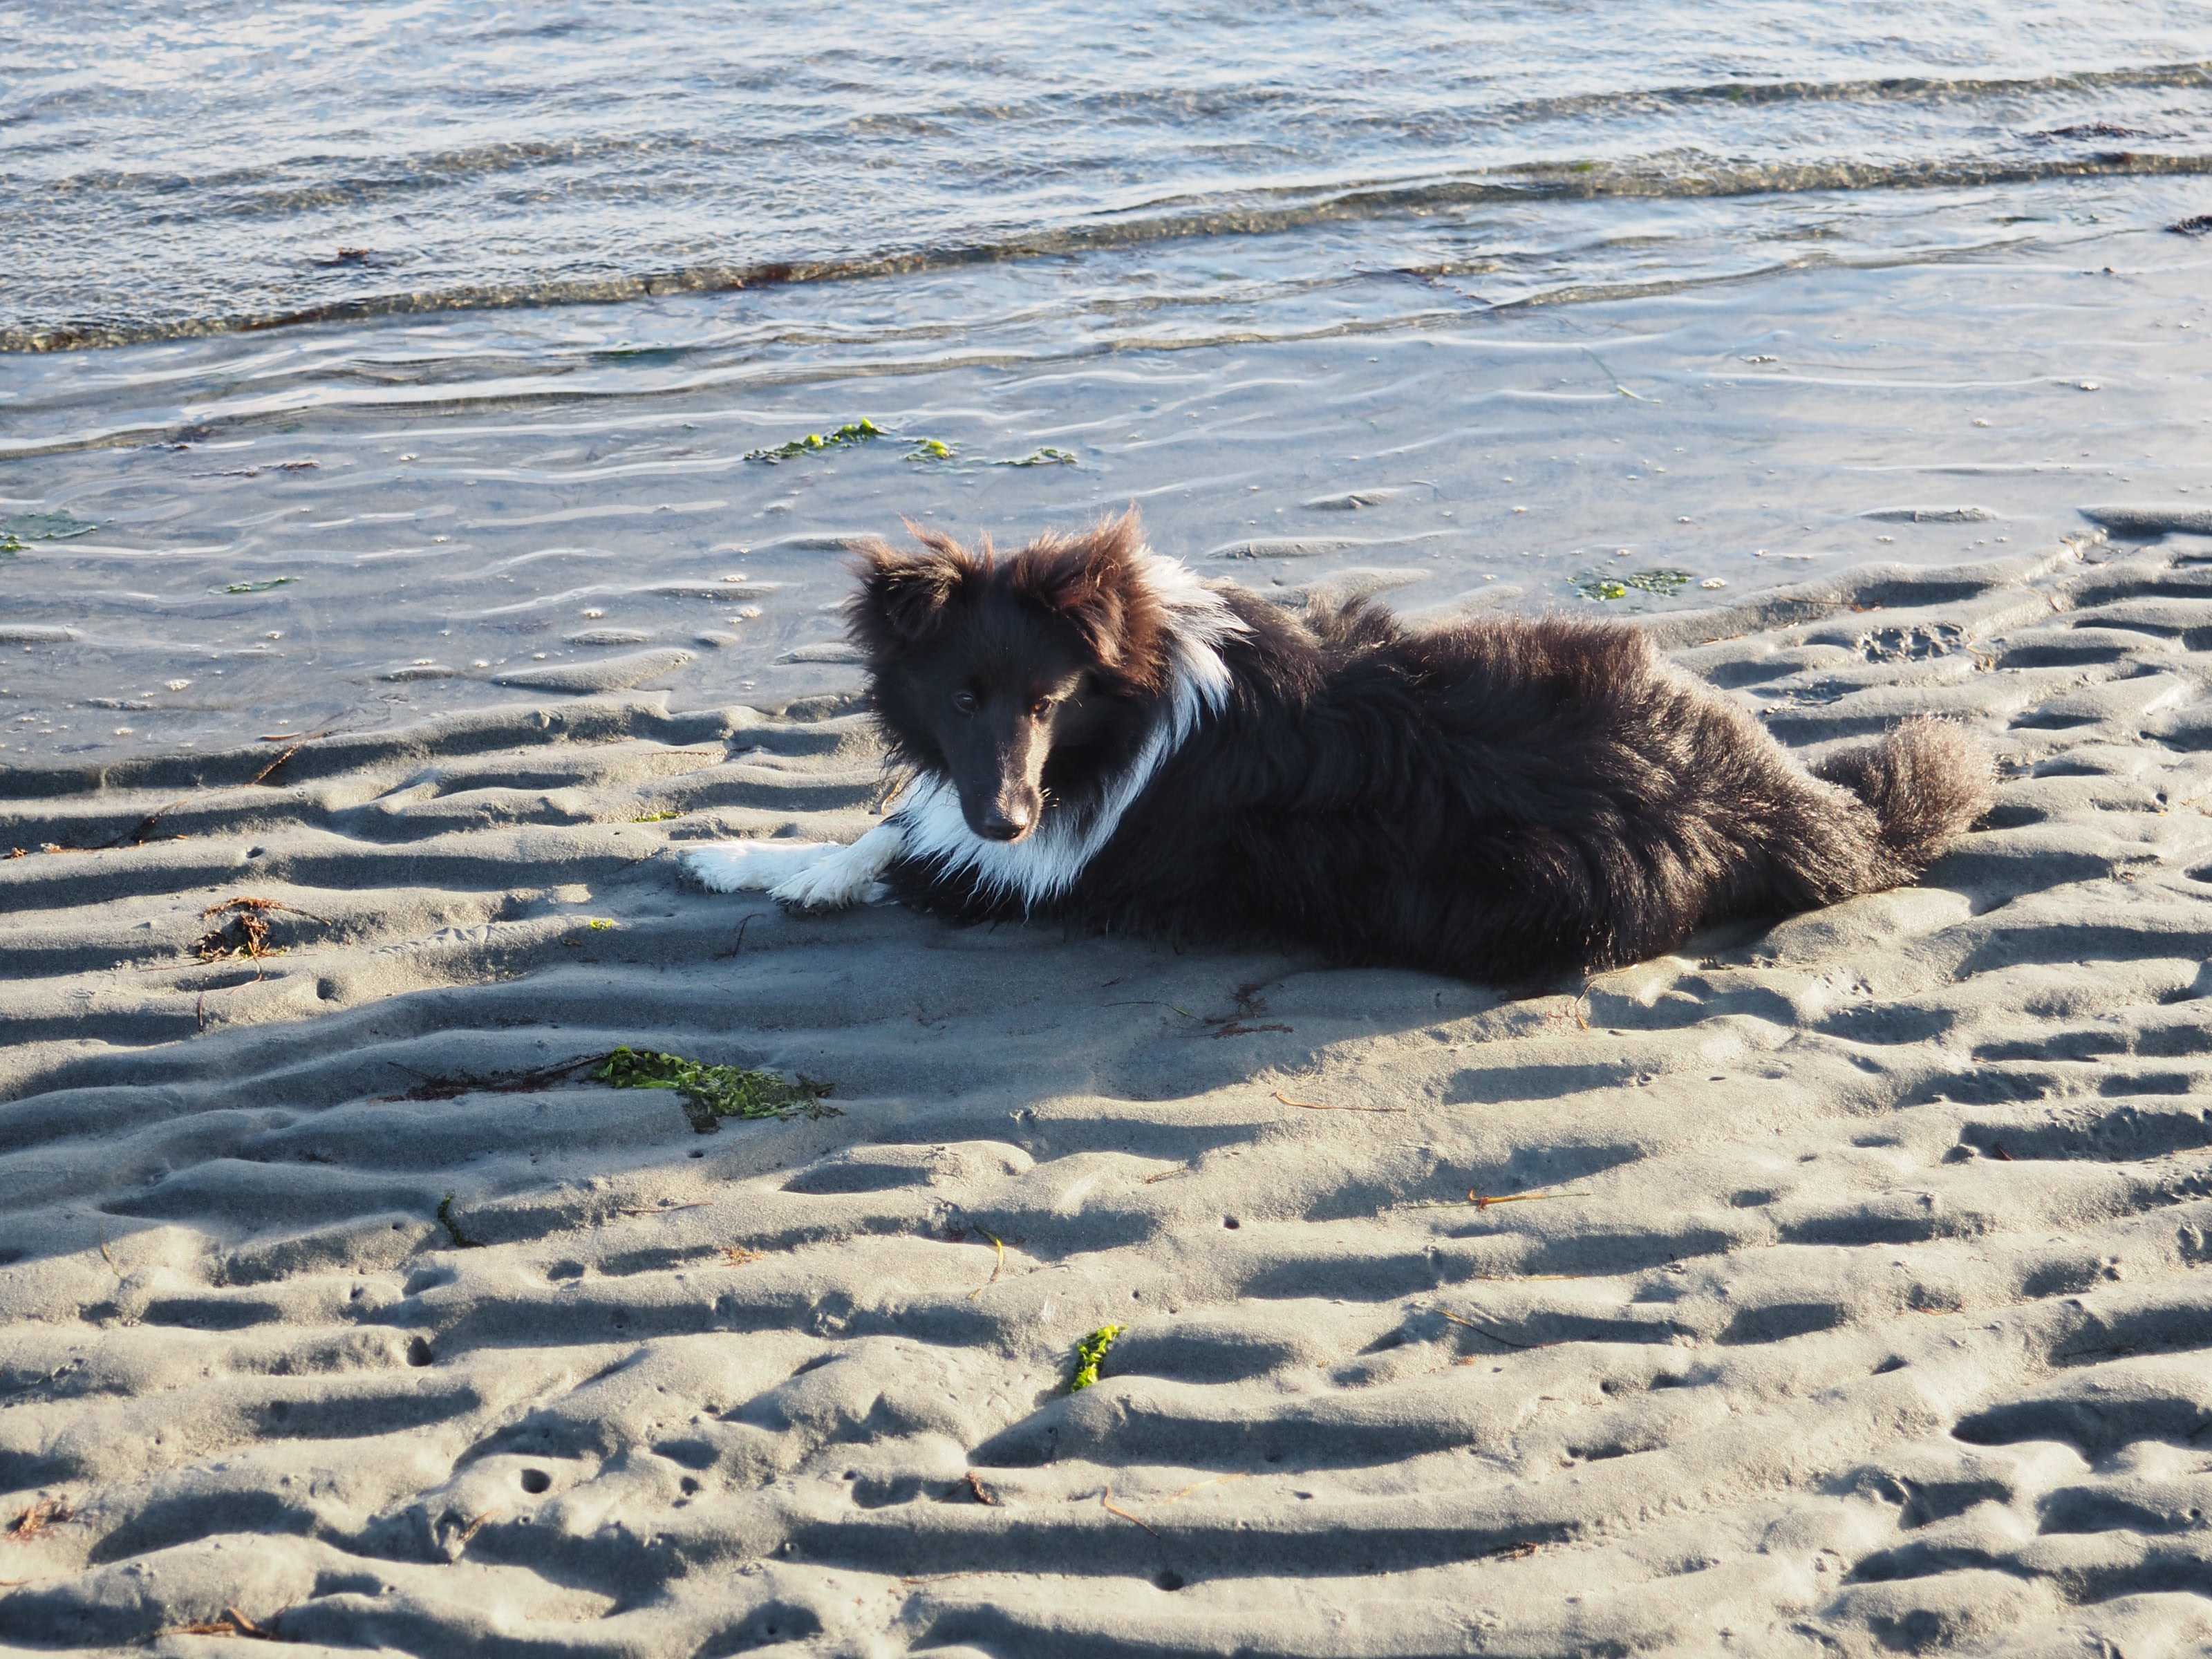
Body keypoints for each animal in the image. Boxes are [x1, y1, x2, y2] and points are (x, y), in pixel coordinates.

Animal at [682, 510, 1991, 983]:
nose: (1006, 814)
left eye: (1051, 701)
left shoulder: (1039, 868)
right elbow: (893, 824)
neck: (1133, 700)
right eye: (960, 697)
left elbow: (890, 845)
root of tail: (1775, 801)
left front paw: (746, 863)